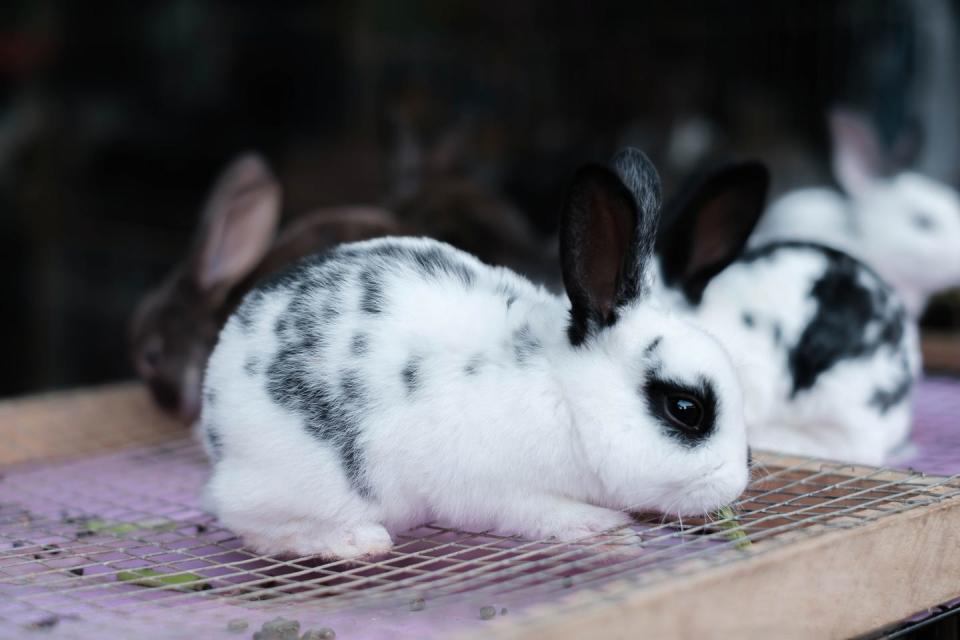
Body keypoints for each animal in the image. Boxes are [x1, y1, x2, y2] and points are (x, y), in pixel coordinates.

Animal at [201, 152, 752, 556]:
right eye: (685, 409)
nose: (737, 483)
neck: (568, 397)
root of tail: (214, 406)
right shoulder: (502, 493)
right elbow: (545, 515)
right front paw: (605, 529)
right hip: (306, 483)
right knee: (250, 521)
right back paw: (357, 540)